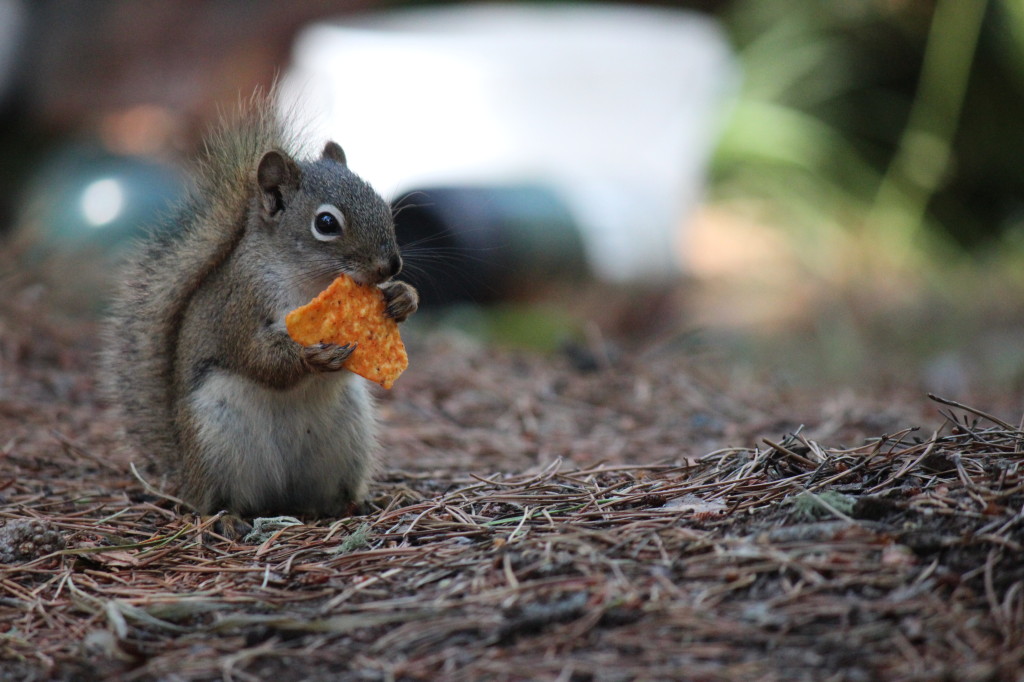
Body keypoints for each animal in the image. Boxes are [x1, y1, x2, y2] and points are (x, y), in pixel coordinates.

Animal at [104, 89, 419, 516]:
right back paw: (226, 518)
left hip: (350, 436)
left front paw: (402, 297)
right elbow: (257, 357)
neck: (310, 282)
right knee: (219, 498)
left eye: (384, 206)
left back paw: (353, 504)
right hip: (215, 439)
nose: (391, 265)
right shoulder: (241, 303)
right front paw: (312, 356)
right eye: (326, 223)